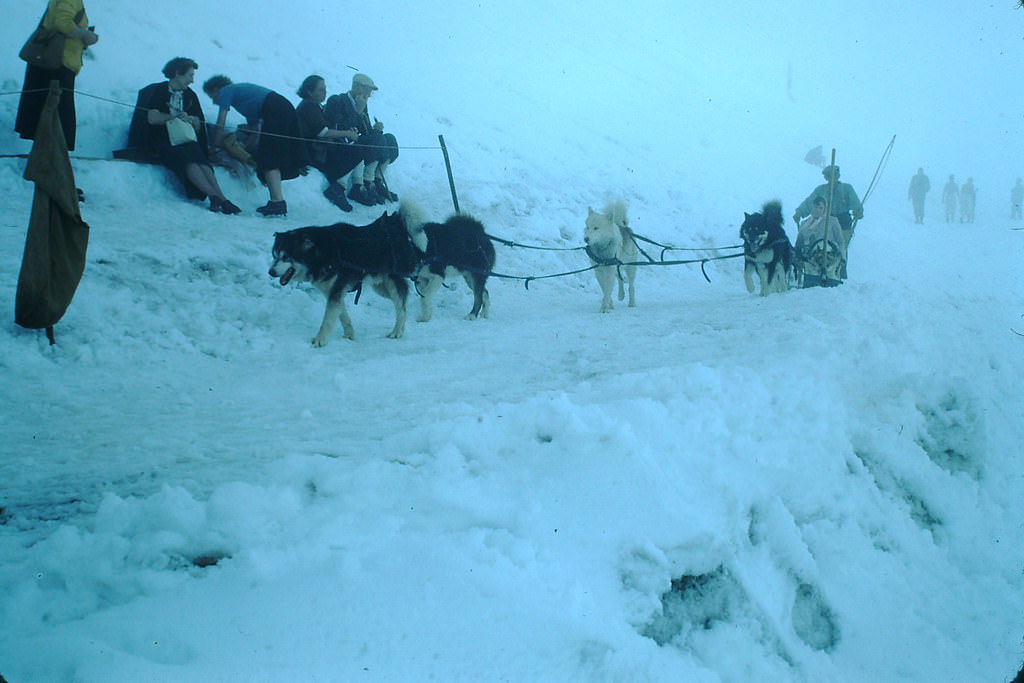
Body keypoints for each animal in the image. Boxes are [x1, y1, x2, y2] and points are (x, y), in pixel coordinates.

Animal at [268, 209, 423, 348]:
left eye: (285, 257)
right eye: (274, 255)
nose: (271, 272)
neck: (322, 253)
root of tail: (394, 223)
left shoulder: (336, 290)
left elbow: (327, 319)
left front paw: (320, 339)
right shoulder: (333, 291)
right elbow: (342, 315)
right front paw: (349, 333)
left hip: (392, 283)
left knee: (401, 306)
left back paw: (397, 330)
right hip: (380, 287)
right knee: (403, 301)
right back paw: (403, 327)